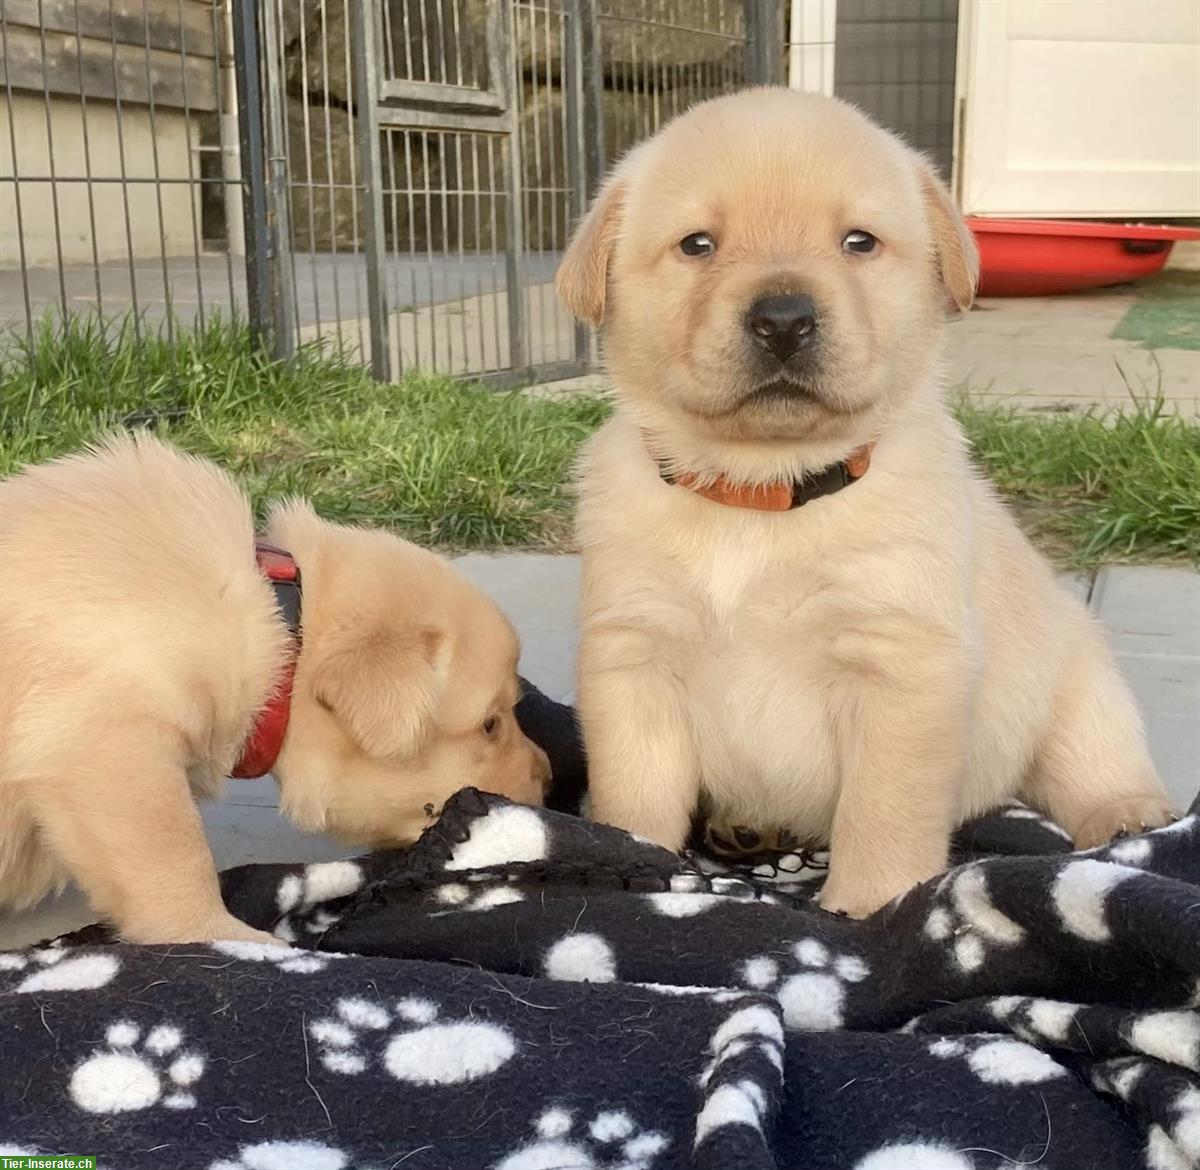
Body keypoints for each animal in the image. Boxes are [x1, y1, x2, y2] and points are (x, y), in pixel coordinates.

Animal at [0, 434, 549, 945]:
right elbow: (175, 855)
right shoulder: (108, 743)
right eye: (490, 724)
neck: (279, 625)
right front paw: (226, 937)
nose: (548, 776)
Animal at [559, 87, 1171, 921]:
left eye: (859, 242)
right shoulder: (634, 653)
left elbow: (883, 808)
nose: (784, 319)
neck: (762, 496)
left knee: (1094, 761)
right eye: (697, 245)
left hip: (1079, 685)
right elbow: (635, 791)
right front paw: (629, 861)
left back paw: (1131, 817)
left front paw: (869, 905)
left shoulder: (902, 666)